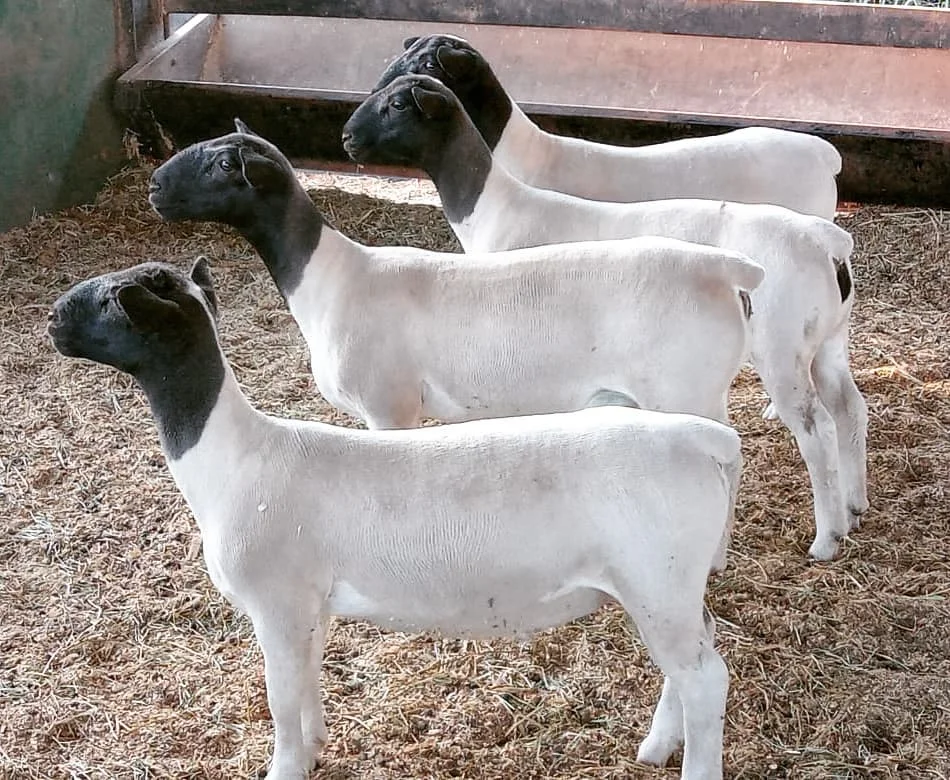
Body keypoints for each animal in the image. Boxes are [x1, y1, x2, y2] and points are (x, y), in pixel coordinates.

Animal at [49, 258, 742, 780]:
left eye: (113, 300)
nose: (53, 318)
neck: (238, 459)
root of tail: (700, 436)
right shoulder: (311, 605)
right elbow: (306, 683)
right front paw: (317, 747)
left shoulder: (278, 601)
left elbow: (281, 698)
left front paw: (287, 766)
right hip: (667, 587)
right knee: (695, 658)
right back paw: (655, 747)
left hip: (655, 578)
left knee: (706, 678)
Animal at [342, 74, 869, 561]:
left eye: (396, 103)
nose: (347, 138)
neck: (499, 204)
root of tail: (829, 242)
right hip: (828, 340)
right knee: (849, 405)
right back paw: (854, 506)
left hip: (782, 347)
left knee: (816, 428)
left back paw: (826, 538)